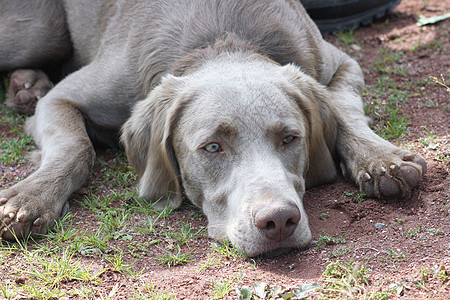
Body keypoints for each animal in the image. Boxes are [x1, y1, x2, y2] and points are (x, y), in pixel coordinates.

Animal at [0, 1, 426, 256]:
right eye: (213, 147)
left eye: (290, 139)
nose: (279, 221)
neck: (224, 40)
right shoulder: (65, 98)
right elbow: (77, 146)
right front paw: (30, 199)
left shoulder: (337, 61)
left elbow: (344, 109)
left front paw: (382, 160)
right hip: (36, 31)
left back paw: (26, 85)